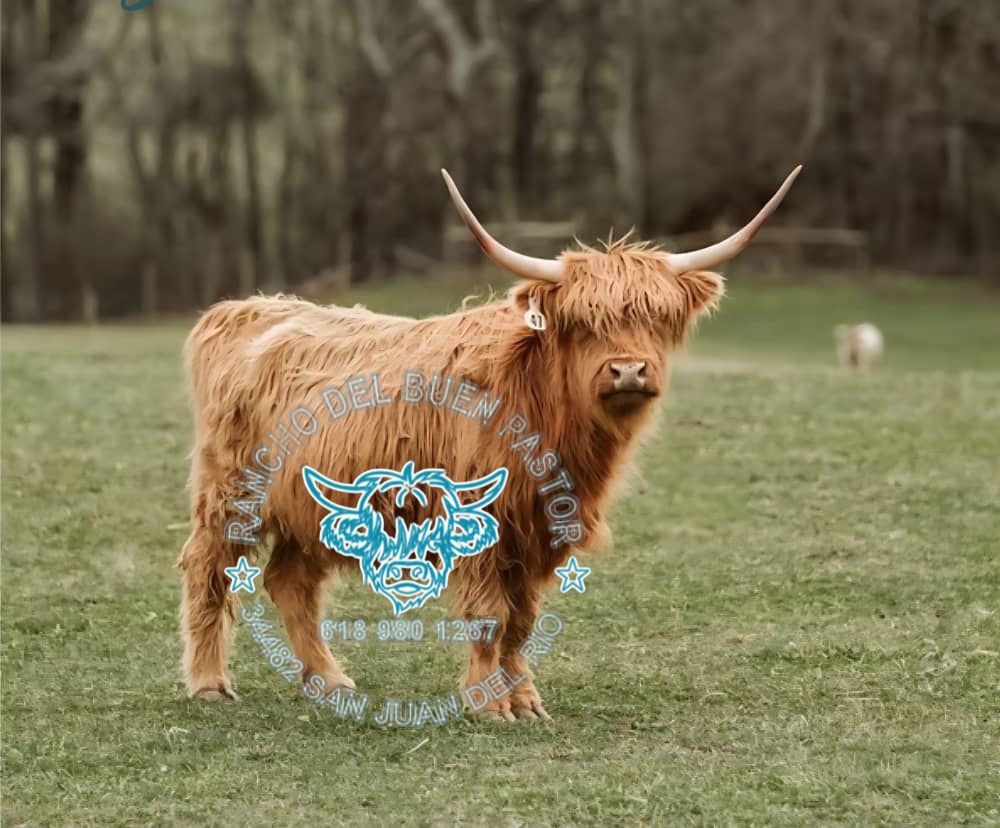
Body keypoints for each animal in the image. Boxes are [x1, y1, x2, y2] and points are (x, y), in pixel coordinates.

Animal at [178, 166, 801, 720]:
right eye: (583, 322)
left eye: (659, 316)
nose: (628, 370)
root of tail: (245, 308)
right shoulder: (483, 524)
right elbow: (489, 615)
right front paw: (490, 704)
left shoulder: (540, 530)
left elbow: (521, 621)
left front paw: (524, 699)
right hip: (230, 491)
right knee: (208, 567)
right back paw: (209, 683)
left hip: (311, 507)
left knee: (290, 582)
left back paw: (328, 680)